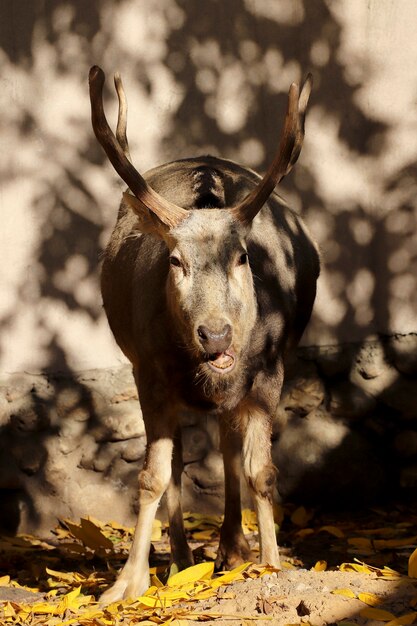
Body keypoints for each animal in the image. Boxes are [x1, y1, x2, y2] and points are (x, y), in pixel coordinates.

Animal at [88, 62, 318, 600]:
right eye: (175, 260)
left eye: (243, 257)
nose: (214, 335)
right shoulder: (148, 371)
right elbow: (152, 476)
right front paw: (126, 584)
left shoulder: (269, 369)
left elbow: (263, 471)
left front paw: (272, 565)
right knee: (178, 466)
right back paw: (182, 561)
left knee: (228, 448)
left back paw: (233, 549)